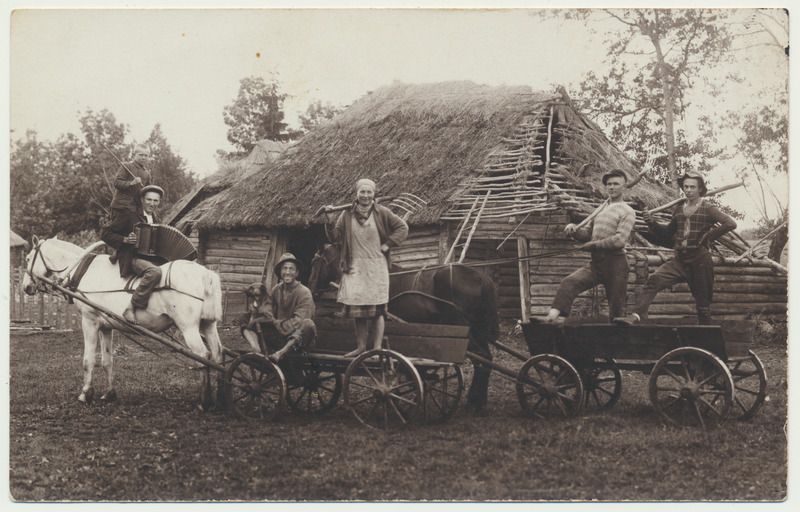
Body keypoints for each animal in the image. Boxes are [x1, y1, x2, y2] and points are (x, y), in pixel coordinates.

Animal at [21, 238, 225, 410]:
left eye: (28, 258)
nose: (26, 287)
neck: (84, 271)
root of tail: (206, 273)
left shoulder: (89, 322)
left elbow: (88, 360)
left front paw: (86, 393)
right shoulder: (106, 326)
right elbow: (107, 361)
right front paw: (109, 393)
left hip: (188, 328)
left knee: (203, 356)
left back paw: (204, 401)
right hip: (208, 325)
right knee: (217, 355)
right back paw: (220, 398)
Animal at [310, 245, 496, 412]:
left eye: (314, 262)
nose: (310, 288)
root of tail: (483, 278)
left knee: (481, 359)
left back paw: (474, 401)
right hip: (478, 331)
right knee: (486, 358)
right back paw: (478, 400)